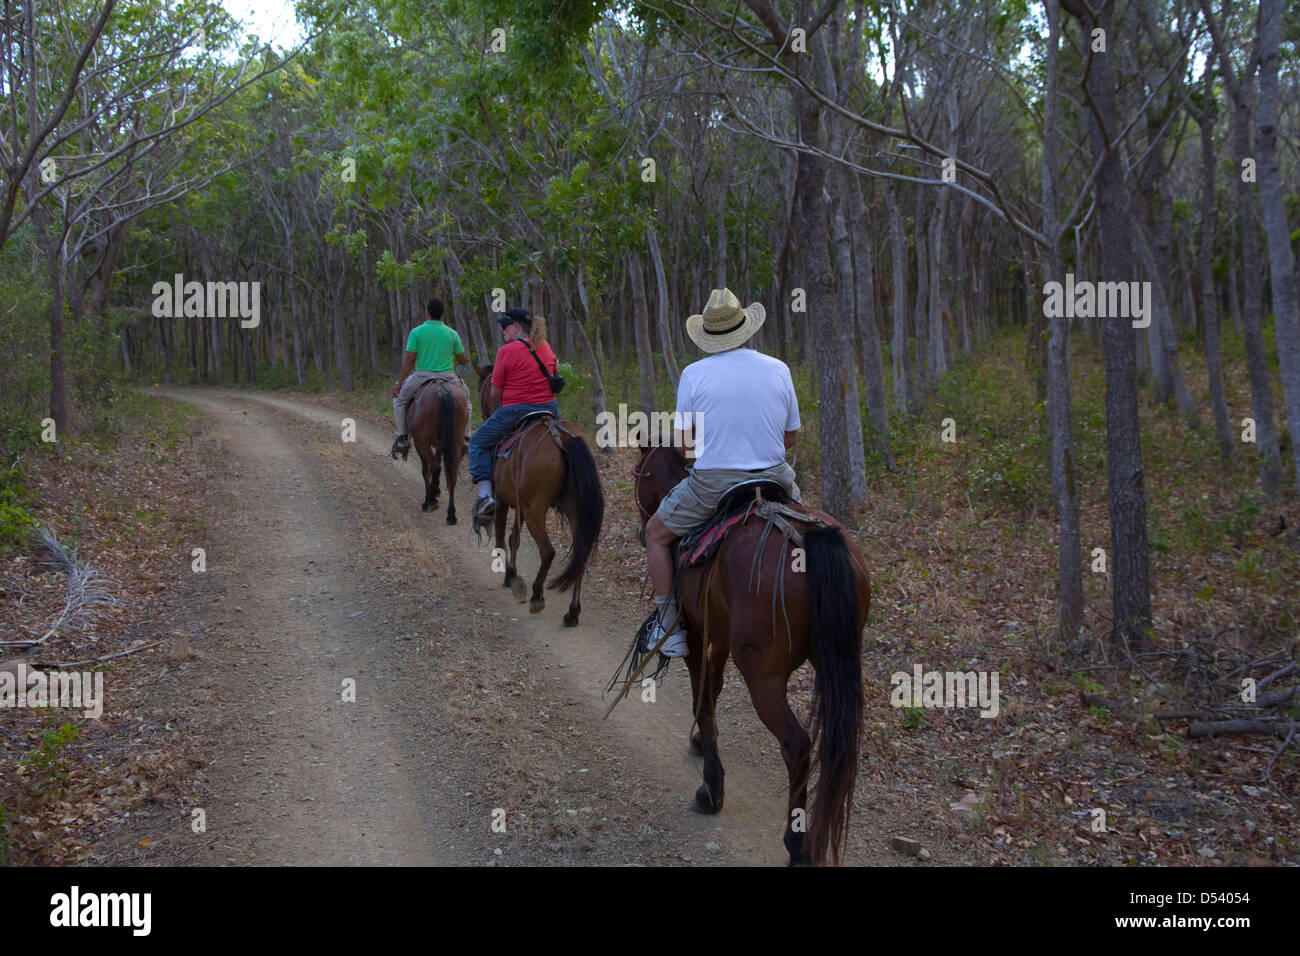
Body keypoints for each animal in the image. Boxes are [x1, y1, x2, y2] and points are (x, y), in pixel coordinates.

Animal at [400, 379, 473, 522]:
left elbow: (426, 470)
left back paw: (429, 503)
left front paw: (431, 496)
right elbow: (439, 461)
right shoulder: (441, 445)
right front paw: (436, 489)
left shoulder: (421, 444)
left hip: (422, 442)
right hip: (454, 442)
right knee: (452, 473)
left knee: (434, 467)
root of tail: (444, 392)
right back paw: (451, 514)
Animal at [475, 361, 600, 624]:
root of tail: (561, 436)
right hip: (574, 510)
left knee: (548, 551)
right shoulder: (518, 506)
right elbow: (514, 538)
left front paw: (510, 577)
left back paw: (536, 595)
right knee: (580, 554)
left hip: (535, 510)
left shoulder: (502, 502)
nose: (483, 416)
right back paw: (572, 612)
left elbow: (502, 538)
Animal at [631, 444, 873, 863]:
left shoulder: (696, 632)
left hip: (763, 674)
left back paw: (797, 844)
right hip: (837, 660)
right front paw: (702, 744)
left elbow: (701, 699)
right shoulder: (721, 634)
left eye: (639, 474)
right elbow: (713, 690)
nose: (642, 529)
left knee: (797, 745)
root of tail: (811, 539)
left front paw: (711, 791)